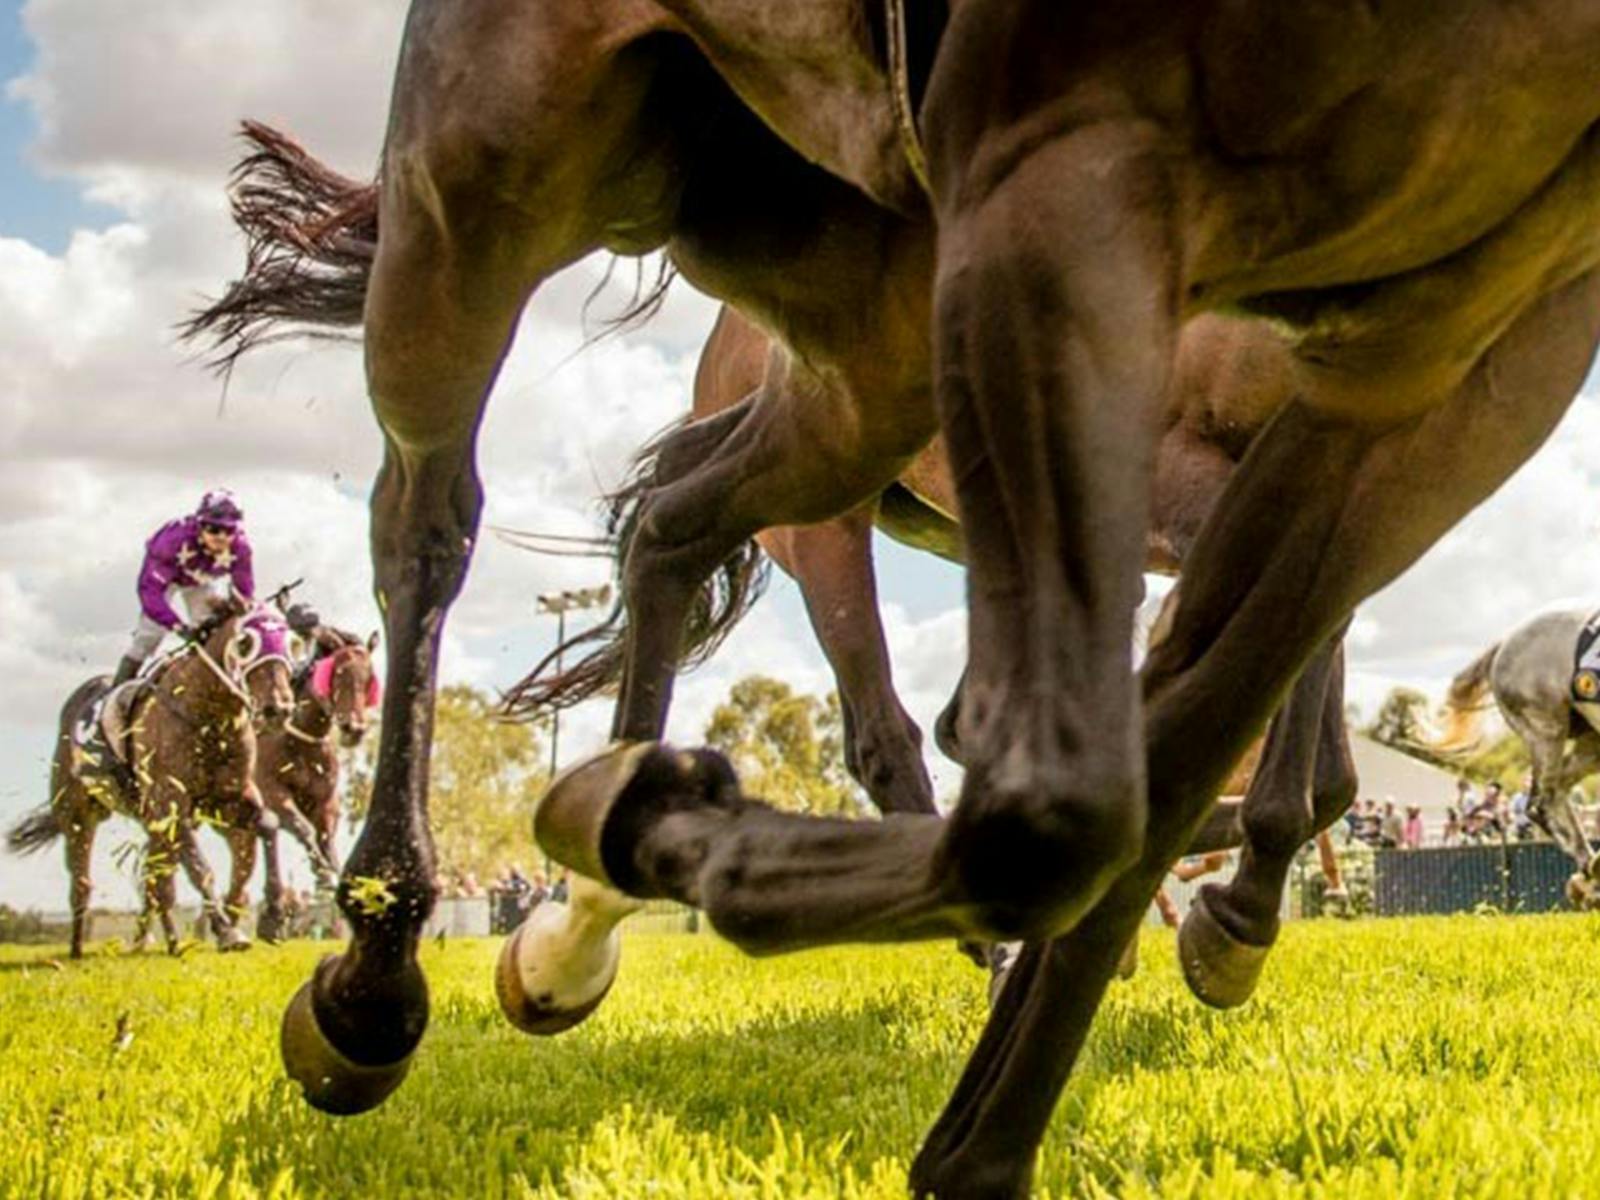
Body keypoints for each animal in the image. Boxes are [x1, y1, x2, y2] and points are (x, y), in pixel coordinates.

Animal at [9, 598, 296, 960]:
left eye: (290, 642)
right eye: (245, 643)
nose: (278, 708)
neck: (208, 715)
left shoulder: (226, 800)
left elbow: (269, 825)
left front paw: (274, 916)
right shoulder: (171, 804)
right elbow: (199, 868)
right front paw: (228, 932)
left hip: (151, 824)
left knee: (156, 880)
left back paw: (167, 942)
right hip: (77, 815)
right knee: (83, 881)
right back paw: (77, 948)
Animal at [190, 4, 1600, 1196]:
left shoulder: (1422, 386)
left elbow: (1261, 704)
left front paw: (1218, 907)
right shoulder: (1166, 410)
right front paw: (1219, 900)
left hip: (863, 373)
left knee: (674, 529)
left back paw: (592, 897)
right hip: (507, 194)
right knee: (441, 529)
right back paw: (388, 977)